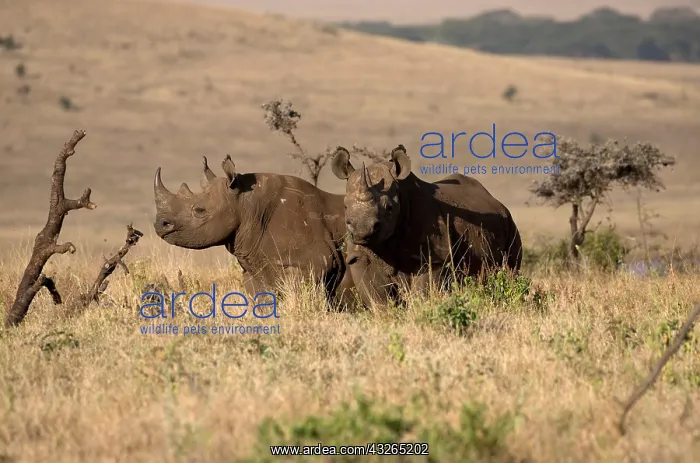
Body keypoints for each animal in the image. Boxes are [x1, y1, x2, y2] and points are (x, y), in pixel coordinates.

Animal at [153, 154, 355, 308]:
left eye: (200, 211)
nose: (159, 224)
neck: (246, 205)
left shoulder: (313, 264)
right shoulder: (254, 267)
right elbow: (262, 299)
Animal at [330, 144, 522, 306]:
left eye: (389, 207)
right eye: (345, 206)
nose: (362, 230)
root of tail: (497, 203)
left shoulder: (435, 256)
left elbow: (423, 293)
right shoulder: (359, 257)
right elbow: (377, 298)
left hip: (511, 224)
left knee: (510, 271)